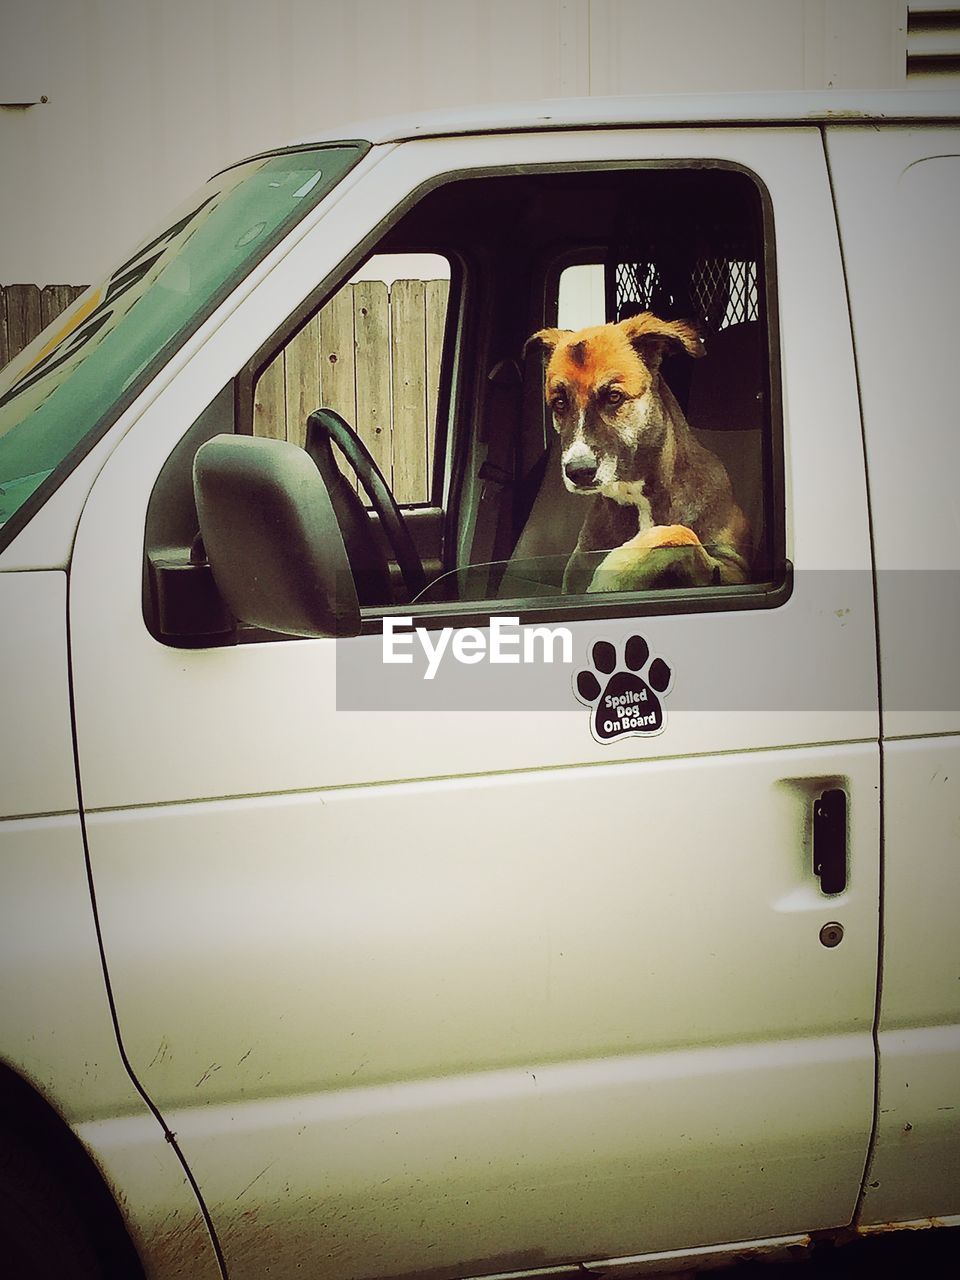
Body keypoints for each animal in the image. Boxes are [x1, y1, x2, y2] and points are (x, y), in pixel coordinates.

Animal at [527, 312, 752, 591]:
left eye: (614, 396)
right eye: (559, 403)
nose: (578, 471)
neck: (636, 496)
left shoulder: (735, 568)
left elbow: (680, 533)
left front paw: (613, 572)